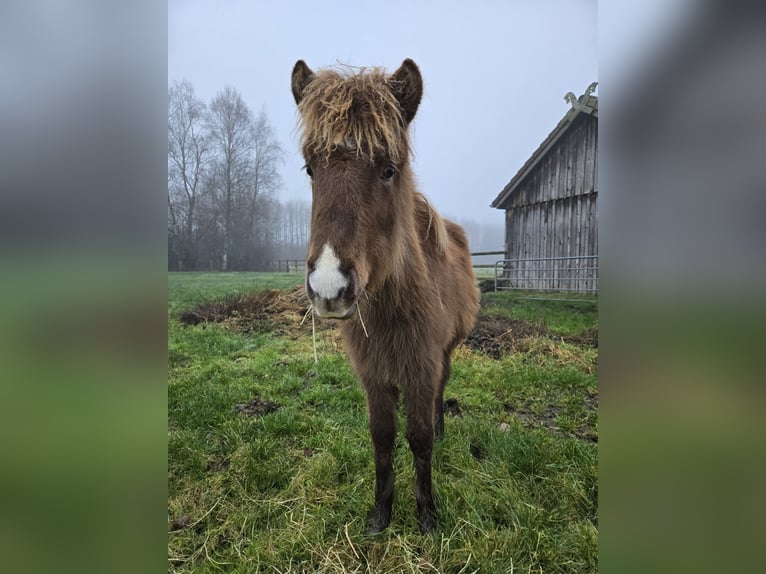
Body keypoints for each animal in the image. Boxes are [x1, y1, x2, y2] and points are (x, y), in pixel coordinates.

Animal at [294, 59, 480, 536]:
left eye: (389, 169)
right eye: (310, 169)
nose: (329, 288)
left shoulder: (421, 367)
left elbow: (419, 437)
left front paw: (427, 514)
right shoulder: (375, 375)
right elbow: (382, 438)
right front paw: (381, 513)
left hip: (445, 353)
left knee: (442, 390)